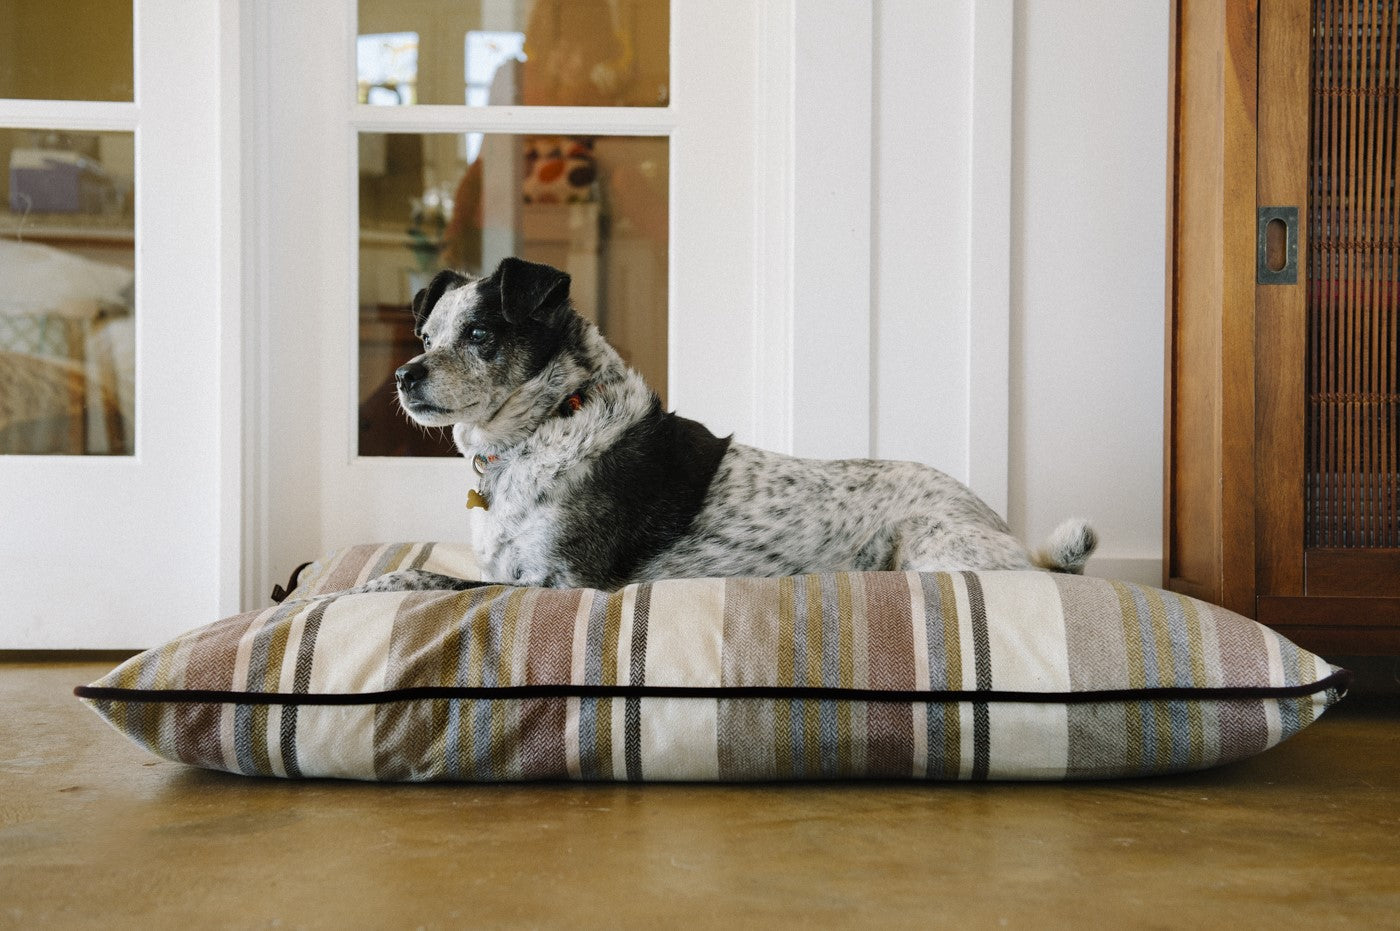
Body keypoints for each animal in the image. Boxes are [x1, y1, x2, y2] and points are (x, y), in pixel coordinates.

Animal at [366, 254, 1097, 590]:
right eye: (426, 335)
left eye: (480, 334)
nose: (404, 375)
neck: (548, 422)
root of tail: (1011, 536)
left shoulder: (565, 581)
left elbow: (453, 584)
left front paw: (389, 581)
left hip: (927, 544)